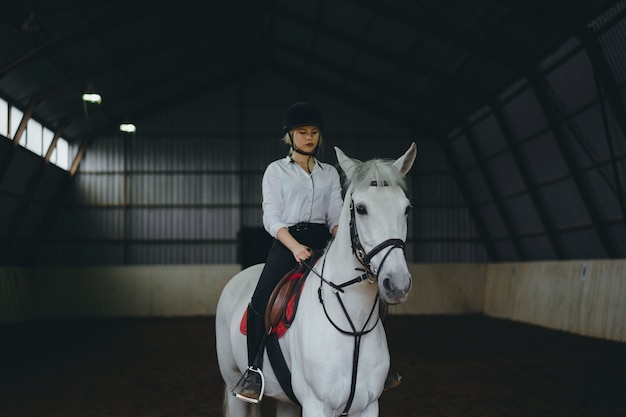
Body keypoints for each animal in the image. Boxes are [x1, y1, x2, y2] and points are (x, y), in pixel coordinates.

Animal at [217, 143, 416, 416]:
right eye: (361, 208)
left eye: (406, 209)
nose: (397, 284)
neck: (354, 327)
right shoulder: (316, 405)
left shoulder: (368, 406)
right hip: (232, 385)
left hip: (286, 401)